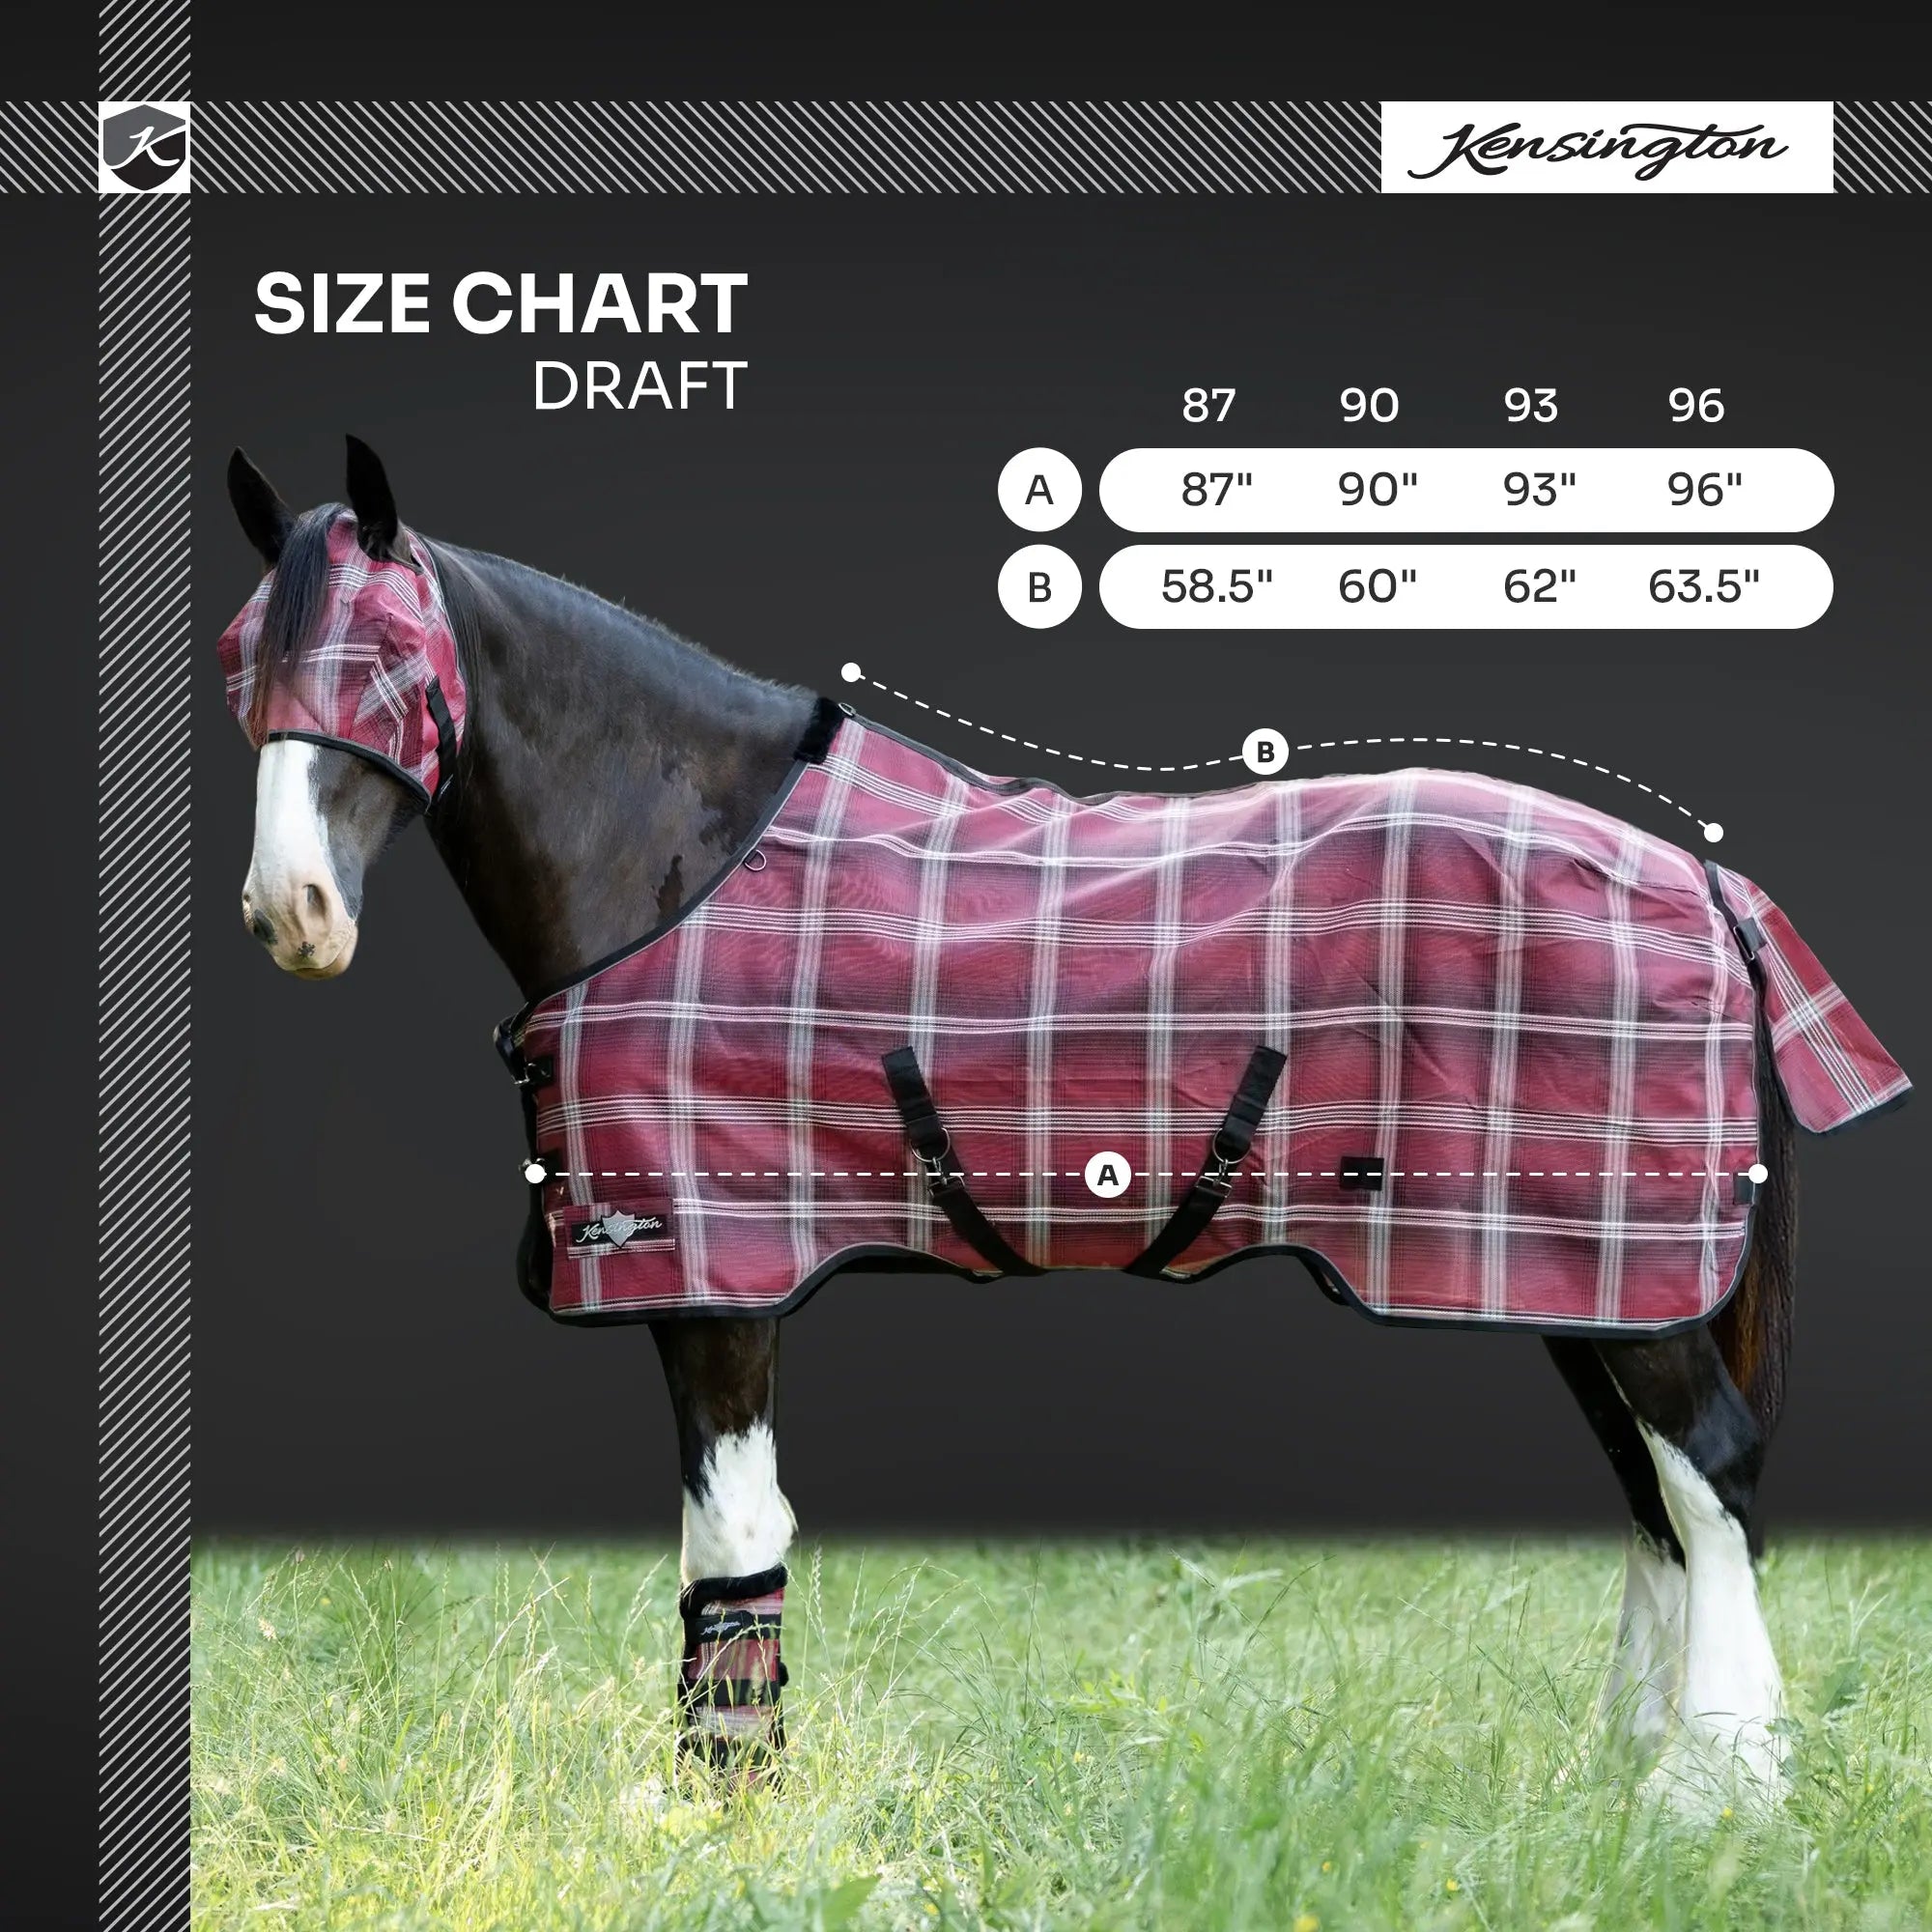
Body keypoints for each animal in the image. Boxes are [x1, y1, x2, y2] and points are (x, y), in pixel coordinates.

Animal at [217, 437, 1907, 1800]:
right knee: (1657, 1500)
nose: (291, 912)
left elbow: (734, 1539)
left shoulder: (721, 1280)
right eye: (243, 659)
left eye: (387, 660)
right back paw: (1631, 1774)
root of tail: (1703, 878)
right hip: (1575, 1284)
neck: (684, 855)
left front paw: (726, 1806)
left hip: (1618, 1276)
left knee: (1711, 1474)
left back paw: (1715, 1793)